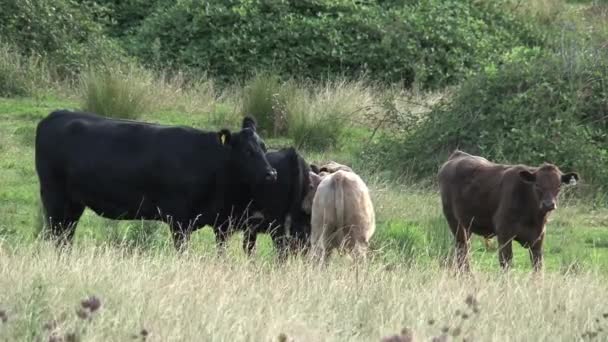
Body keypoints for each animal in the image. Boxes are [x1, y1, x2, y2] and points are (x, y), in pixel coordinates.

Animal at [34, 110, 276, 251]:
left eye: (264, 148)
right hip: (54, 196)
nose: (271, 173)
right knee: (56, 233)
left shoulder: (221, 224)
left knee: (65, 235)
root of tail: (57, 114)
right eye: (247, 151)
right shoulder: (179, 220)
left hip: (74, 203)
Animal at [440, 151, 576, 272]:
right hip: (455, 222)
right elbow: (506, 264)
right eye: (537, 185)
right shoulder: (504, 234)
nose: (549, 204)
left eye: (559, 186)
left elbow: (538, 267)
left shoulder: (538, 239)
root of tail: (458, 155)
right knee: (462, 250)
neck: (533, 217)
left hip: (467, 226)